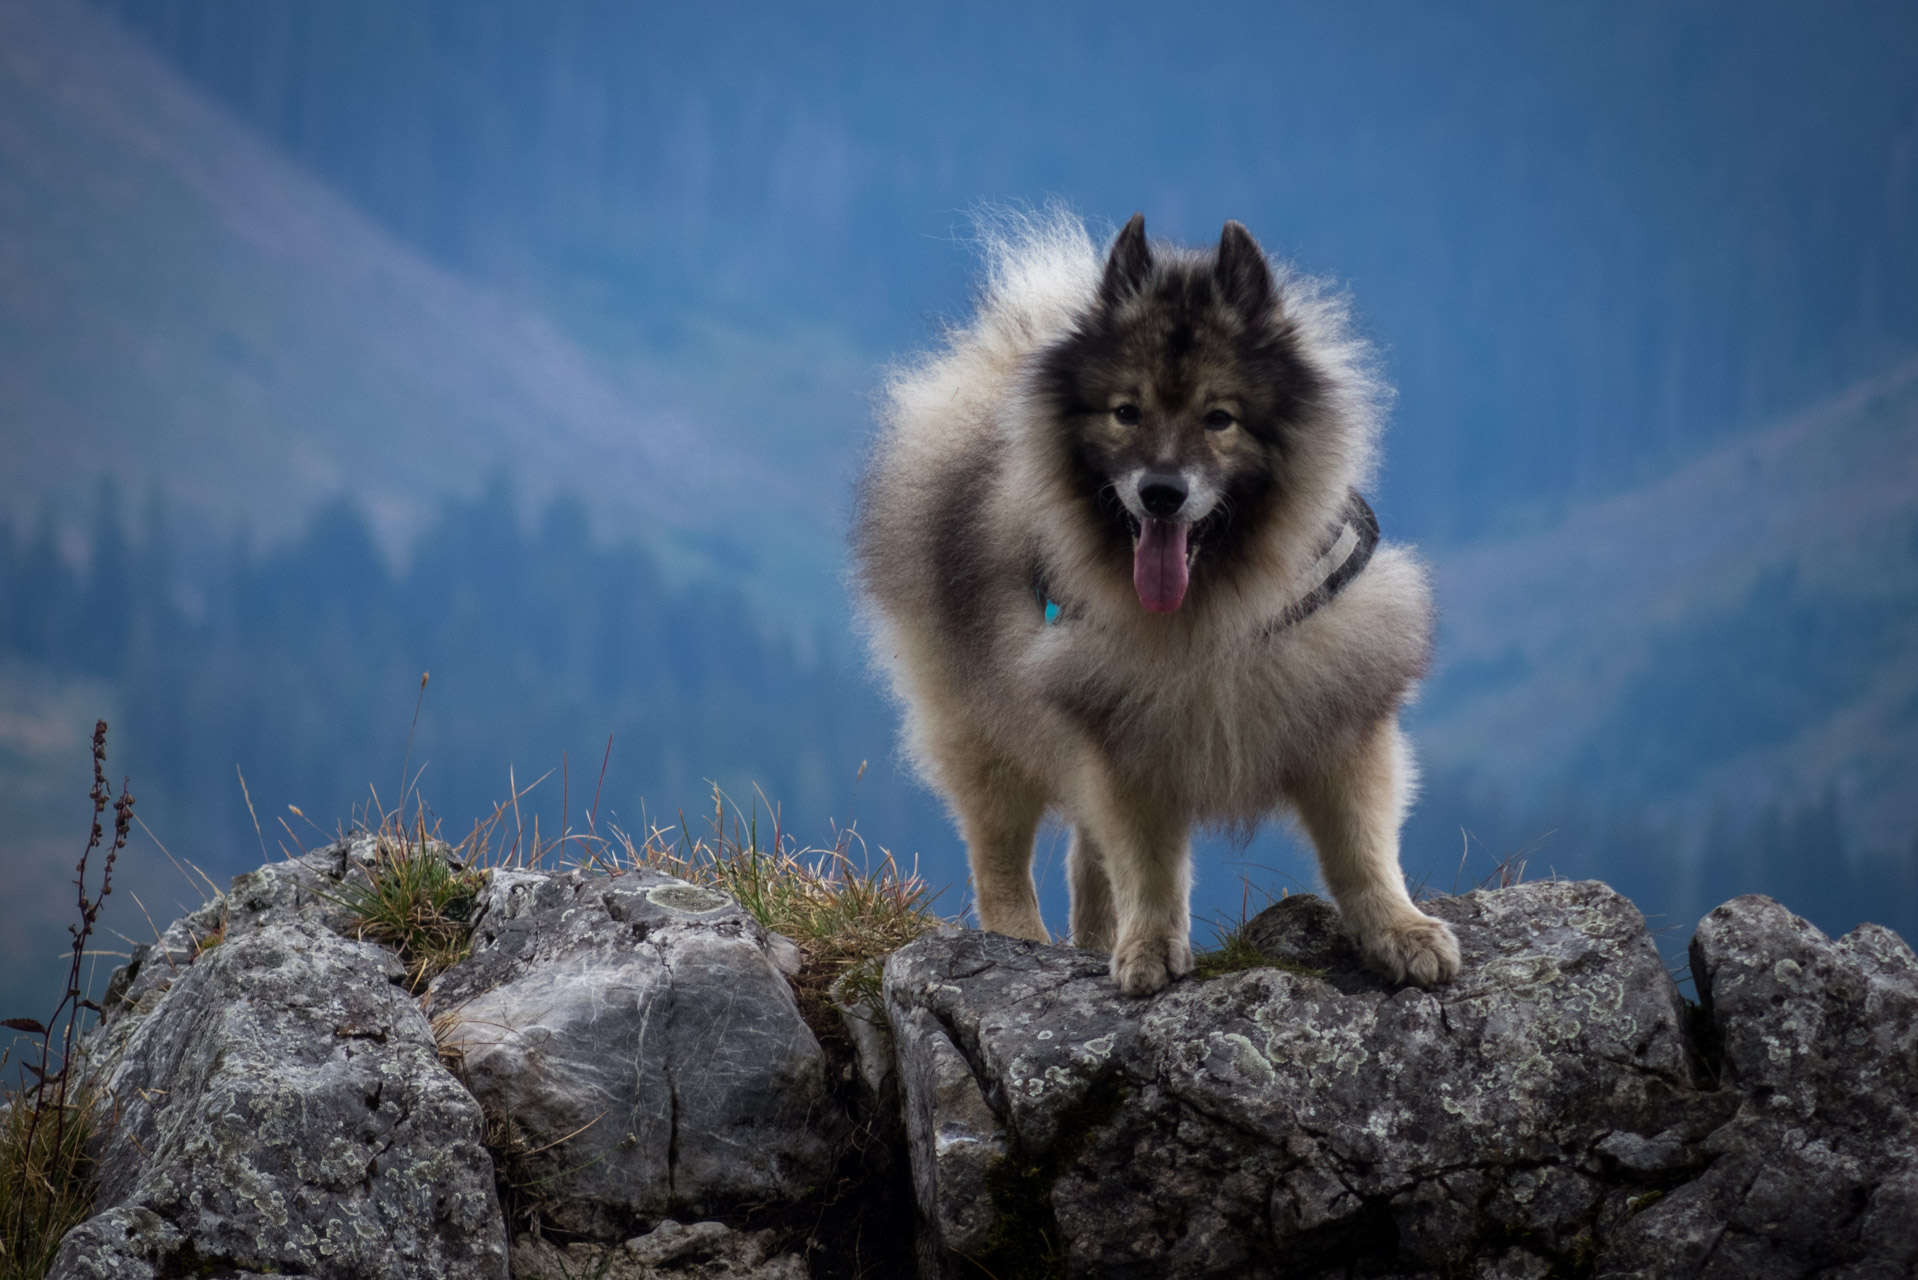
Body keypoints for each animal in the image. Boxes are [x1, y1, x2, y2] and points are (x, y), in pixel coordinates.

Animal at [851, 210, 1450, 997]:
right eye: (1125, 413)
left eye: (1219, 417)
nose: (1161, 493)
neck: (1209, 611)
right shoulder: (1122, 742)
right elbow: (1148, 863)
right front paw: (1149, 947)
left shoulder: (1343, 719)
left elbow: (1364, 849)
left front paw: (1400, 931)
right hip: (982, 724)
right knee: (1001, 854)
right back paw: (1020, 940)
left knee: (1084, 856)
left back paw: (1090, 937)